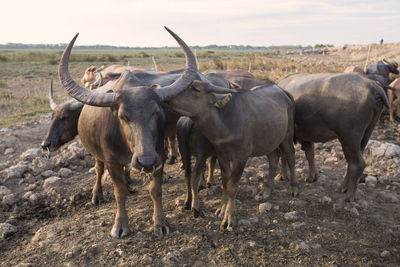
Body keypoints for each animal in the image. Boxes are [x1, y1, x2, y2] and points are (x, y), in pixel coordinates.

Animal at [163, 77, 296, 230]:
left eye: (195, 88)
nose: (169, 98)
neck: (224, 123)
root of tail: (284, 93)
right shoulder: (222, 156)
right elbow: (225, 183)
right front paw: (222, 209)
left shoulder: (241, 158)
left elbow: (232, 187)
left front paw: (229, 218)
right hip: (269, 141)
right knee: (274, 158)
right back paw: (266, 191)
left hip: (287, 136)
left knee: (291, 157)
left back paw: (293, 188)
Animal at [278, 72, 388, 202]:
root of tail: (372, 86)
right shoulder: (306, 138)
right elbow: (310, 154)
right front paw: (312, 177)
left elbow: (285, 156)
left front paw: (282, 175)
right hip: (364, 136)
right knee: (352, 163)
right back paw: (343, 188)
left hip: (349, 138)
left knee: (358, 164)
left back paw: (349, 195)